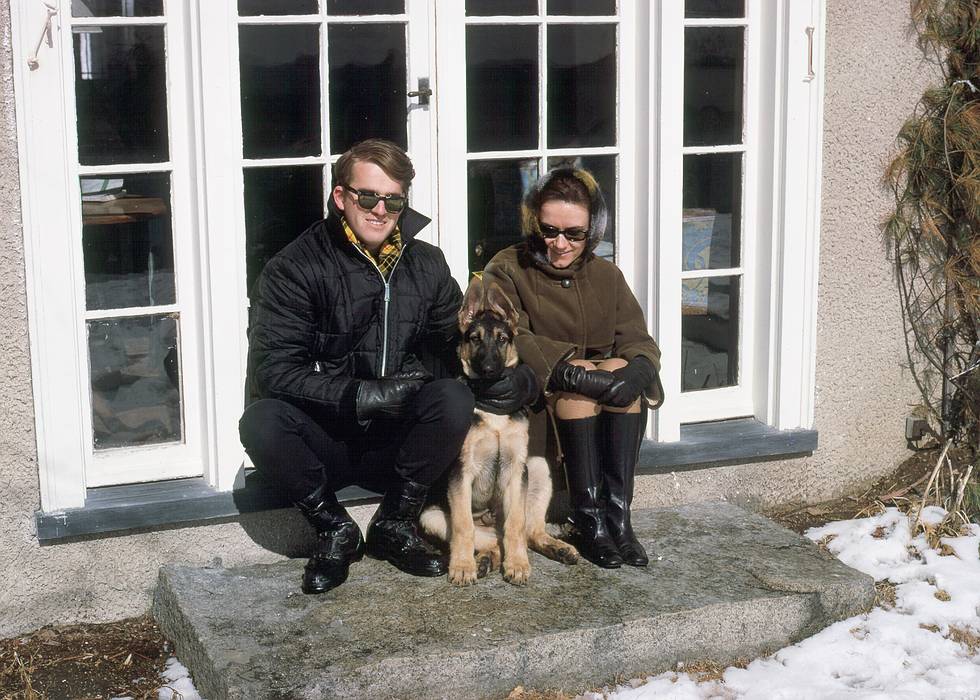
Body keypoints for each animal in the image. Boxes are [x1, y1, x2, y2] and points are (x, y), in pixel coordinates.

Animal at [420, 278, 576, 584]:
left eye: (502, 339)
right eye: (475, 338)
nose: (490, 368)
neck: (493, 408)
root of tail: (490, 521)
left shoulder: (516, 470)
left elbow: (516, 524)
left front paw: (517, 564)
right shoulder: (461, 472)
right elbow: (462, 527)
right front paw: (462, 566)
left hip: (537, 467)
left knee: (528, 532)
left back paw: (556, 548)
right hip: (431, 518)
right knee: (488, 540)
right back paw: (480, 561)